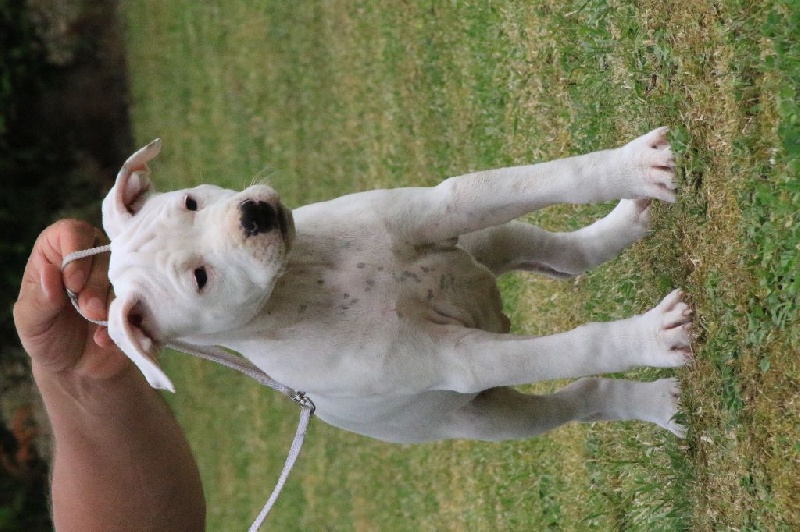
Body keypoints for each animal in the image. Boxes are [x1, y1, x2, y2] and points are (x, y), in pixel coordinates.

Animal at [101, 127, 691, 443]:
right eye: (200, 279)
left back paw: (628, 217)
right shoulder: (463, 360)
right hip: (494, 416)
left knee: (565, 255)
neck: (305, 276)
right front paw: (650, 339)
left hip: (483, 240)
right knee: (586, 395)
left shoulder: (444, 207)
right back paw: (659, 403)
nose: (255, 216)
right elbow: (576, 347)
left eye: (190, 202)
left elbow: (551, 177)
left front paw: (633, 166)